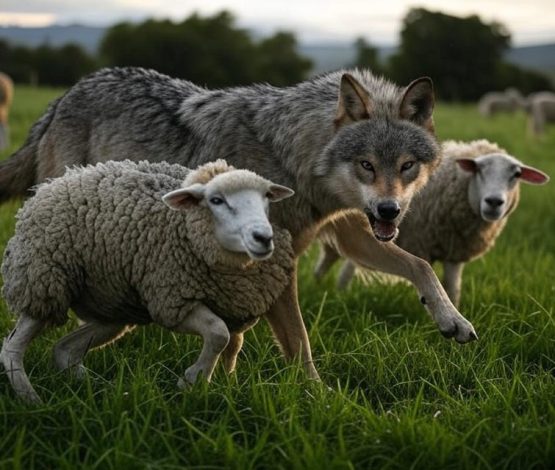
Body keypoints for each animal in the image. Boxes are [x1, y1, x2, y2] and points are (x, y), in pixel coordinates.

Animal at [0, 160, 296, 402]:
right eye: (216, 200)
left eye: (267, 197)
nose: (263, 237)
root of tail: (50, 183)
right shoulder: (173, 299)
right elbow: (217, 333)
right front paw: (193, 380)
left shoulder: (232, 306)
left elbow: (233, 344)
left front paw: (225, 383)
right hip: (43, 281)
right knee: (12, 348)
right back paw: (32, 401)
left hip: (111, 307)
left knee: (65, 351)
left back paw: (102, 392)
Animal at [318, 139, 552, 308]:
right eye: (478, 170)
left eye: (516, 174)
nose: (494, 202)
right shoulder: (422, 244)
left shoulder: (454, 253)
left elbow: (452, 289)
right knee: (329, 261)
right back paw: (319, 287)